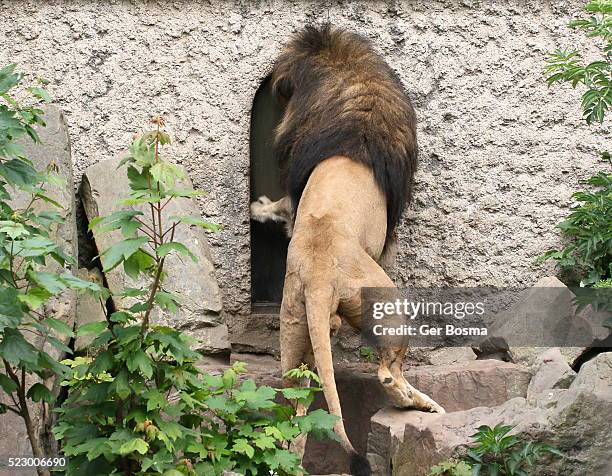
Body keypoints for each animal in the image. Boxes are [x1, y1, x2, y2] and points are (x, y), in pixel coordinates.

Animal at [250, 26, 444, 476]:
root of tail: (320, 273)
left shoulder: (296, 193)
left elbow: (283, 208)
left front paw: (258, 208)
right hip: (389, 302)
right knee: (388, 373)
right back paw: (426, 405)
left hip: (295, 328)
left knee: (296, 405)